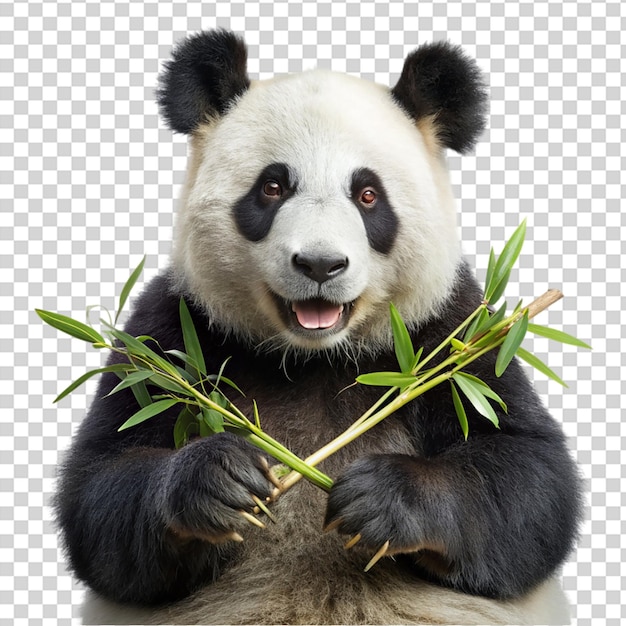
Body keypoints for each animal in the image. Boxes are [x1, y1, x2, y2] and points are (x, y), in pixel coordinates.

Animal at [57, 29, 580, 624]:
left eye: (368, 194)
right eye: (272, 187)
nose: (320, 265)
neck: (313, 356)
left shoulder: (455, 335)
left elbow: (528, 479)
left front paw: (382, 498)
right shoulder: (171, 334)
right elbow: (102, 488)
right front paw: (220, 478)